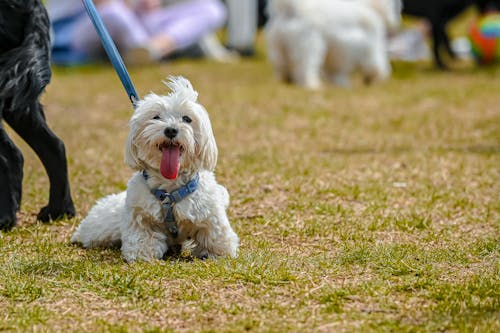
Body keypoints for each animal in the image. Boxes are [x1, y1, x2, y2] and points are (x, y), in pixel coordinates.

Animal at [266, 0, 402, 88]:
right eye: (396, 7)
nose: (396, 24)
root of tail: (291, 10)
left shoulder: (338, 51)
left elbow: (335, 70)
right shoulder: (367, 46)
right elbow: (376, 64)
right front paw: (372, 78)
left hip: (280, 48)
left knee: (283, 67)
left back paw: (288, 80)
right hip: (310, 46)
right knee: (305, 66)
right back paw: (313, 84)